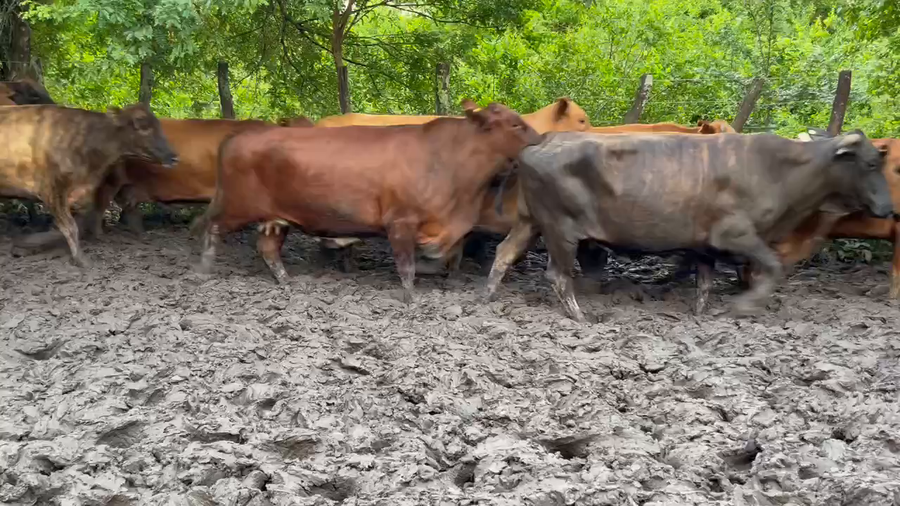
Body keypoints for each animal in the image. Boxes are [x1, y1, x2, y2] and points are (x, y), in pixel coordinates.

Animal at [194, 102, 542, 301]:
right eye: (515, 123)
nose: (540, 140)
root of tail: (238, 136)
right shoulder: (400, 221)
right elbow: (406, 266)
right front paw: (410, 299)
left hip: (276, 219)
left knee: (267, 248)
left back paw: (286, 282)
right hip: (236, 205)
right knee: (210, 227)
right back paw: (205, 271)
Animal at [483, 130, 893, 322]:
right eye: (872, 163)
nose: (888, 208)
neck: (778, 171)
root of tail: (544, 139)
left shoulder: (704, 244)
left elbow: (705, 284)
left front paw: (702, 315)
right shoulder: (736, 234)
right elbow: (773, 267)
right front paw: (744, 306)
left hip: (530, 221)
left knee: (504, 253)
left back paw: (487, 300)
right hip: (561, 228)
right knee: (557, 274)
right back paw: (580, 317)